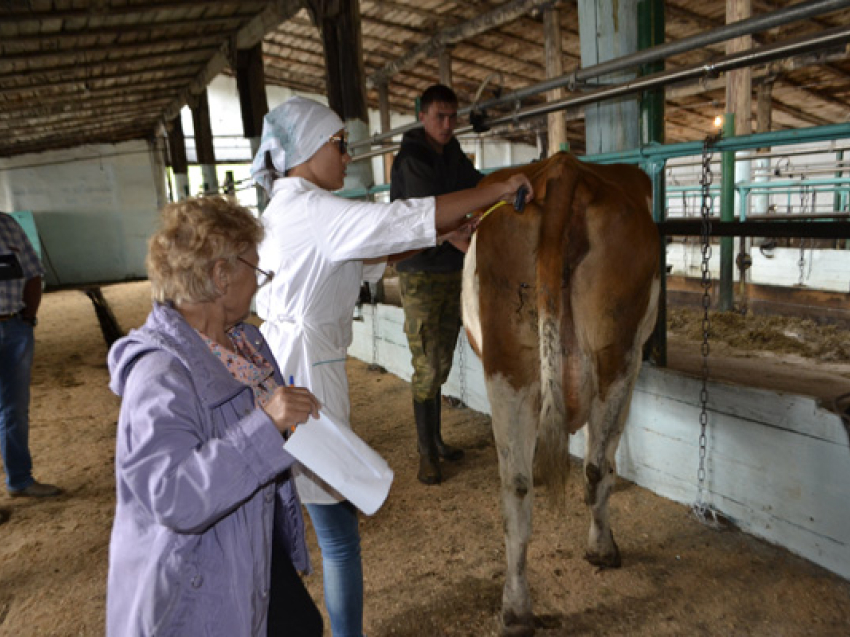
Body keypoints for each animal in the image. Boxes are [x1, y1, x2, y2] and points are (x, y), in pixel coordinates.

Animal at [460, 152, 660, 632]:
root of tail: (563, 166)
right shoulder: (633, 363)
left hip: (508, 364)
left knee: (516, 486)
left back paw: (516, 608)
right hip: (616, 355)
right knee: (595, 466)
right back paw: (602, 548)